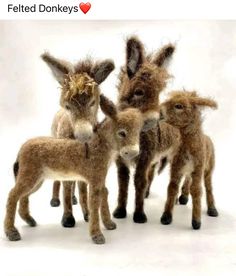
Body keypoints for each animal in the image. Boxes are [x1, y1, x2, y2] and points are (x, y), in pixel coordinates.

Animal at [4, 95, 157, 244]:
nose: (133, 153)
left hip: (36, 180)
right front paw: (97, 235)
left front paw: (109, 224)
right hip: (30, 177)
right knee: (12, 195)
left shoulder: (100, 179)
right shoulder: (95, 180)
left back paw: (29, 220)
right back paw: (11, 232)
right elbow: (94, 204)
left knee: (23, 196)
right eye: (122, 133)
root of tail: (22, 147)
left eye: (138, 133)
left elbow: (105, 195)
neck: (100, 147)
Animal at [42, 53, 115, 211]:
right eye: (67, 106)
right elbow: (68, 182)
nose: (84, 135)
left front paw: (85, 209)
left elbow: (82, 185)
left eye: (93, 103)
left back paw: (73, 199)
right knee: (60, 179)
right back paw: (55, 200)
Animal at [159, 91, 218, 230]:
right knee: (187, 179)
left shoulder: (198, 169)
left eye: (179, 106)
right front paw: (166, 217)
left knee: (208, 187)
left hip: (209, 169)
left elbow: (196, 190)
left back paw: (212, 209)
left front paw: (196, 222)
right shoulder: (176, 167)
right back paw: (182, 198)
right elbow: (172, 188)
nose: (159, 112)